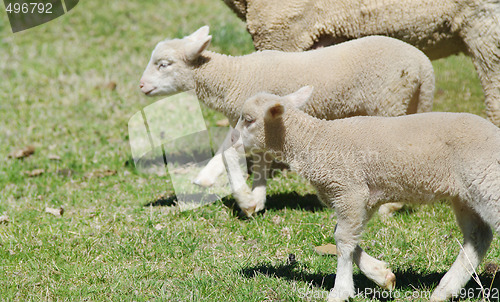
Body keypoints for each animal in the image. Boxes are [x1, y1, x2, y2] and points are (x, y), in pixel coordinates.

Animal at [140, 25, 434, 215]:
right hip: (408, 103)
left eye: (164, 64)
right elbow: (252, 159)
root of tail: (424, 65)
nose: (141, 85)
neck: (233, 77)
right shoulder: (260, 126)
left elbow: (229, 154)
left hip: (389, 103)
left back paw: (389, 207)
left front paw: (243, 198)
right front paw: (254, 198)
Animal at [231, 85, 500, 302]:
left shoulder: (350, 189)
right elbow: (345, 235)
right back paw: (444, 290)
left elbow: (343, 240)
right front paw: (382, 275)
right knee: (478, 236)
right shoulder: (363, 196)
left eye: (249, 120)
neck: (315, 141)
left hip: (488, 182)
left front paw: (340, 291)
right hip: (465, 195)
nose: (233, 140)